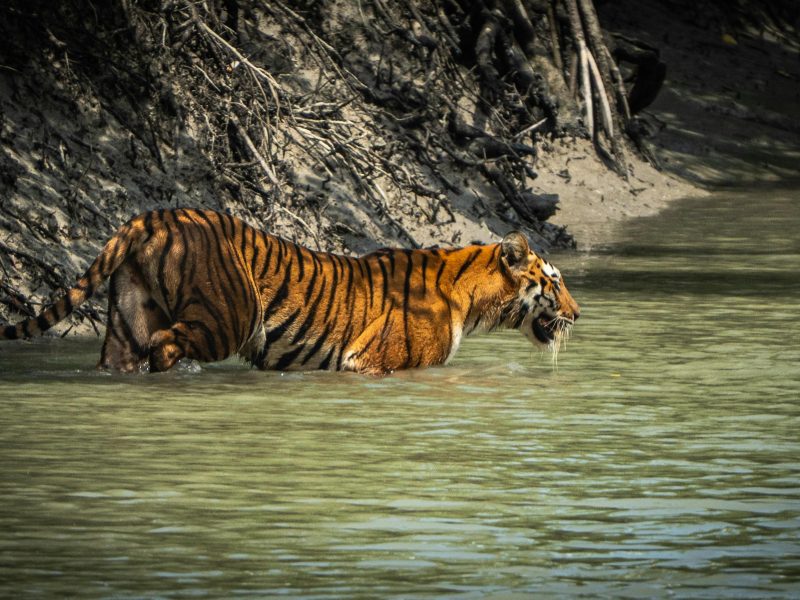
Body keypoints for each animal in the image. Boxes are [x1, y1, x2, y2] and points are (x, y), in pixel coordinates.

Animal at [0, 208, 580, 374]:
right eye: (554, 281)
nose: (579, 313)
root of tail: (153, 215)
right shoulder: (375, 364)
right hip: (226, 318)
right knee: (167, 345)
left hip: (125, 321)